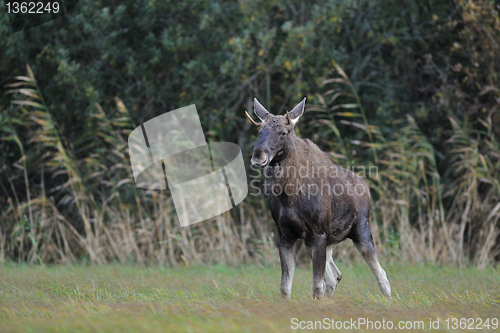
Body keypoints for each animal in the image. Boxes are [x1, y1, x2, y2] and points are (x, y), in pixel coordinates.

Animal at [245, 97, 390, 296]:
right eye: (260, 131)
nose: (258, 155)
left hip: (360, 231)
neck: (288, 194)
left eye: (283, 132)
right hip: (321, 242)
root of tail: (366, 187)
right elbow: (285, 287)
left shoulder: (318, 233)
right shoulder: (285, 235)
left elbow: (316, 286)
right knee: (336, 276)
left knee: (381, 274)